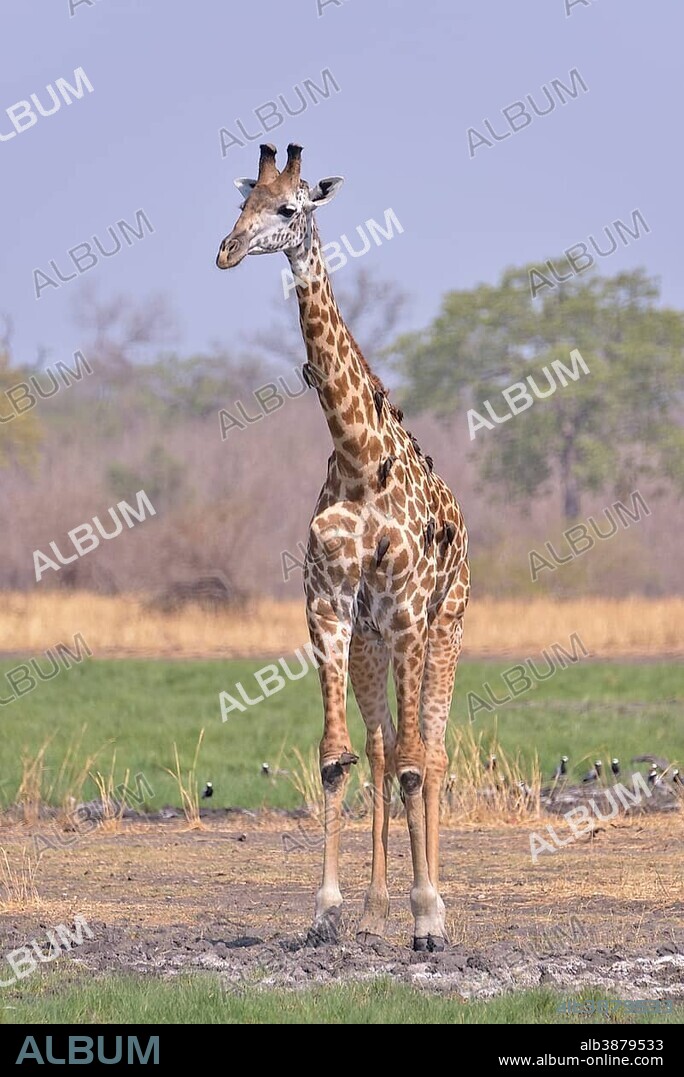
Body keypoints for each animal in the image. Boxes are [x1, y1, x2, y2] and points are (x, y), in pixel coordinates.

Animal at [216, 143, 469, 951]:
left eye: (290, 208)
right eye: (242, 202)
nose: (227, 251)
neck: (358, 455)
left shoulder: (410, 611)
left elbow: (419, 762)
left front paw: (429, 918)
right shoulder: (328, 605)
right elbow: (338, 757)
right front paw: (329, 910)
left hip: (443, 625)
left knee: (433, 751)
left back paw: (436, 904)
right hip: (371, 639)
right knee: (386, 745)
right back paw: (377, 903)